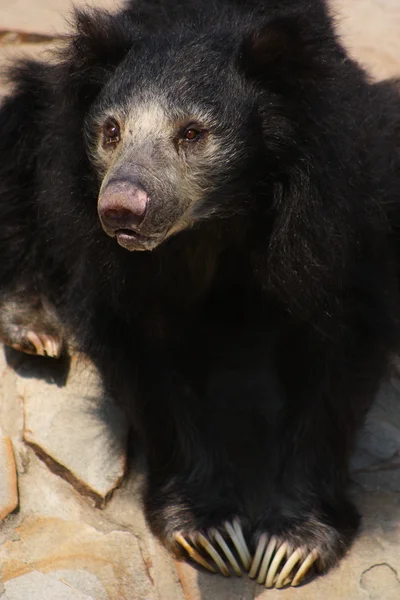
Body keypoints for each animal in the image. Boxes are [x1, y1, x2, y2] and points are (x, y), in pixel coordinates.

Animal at [0, 0, 400, 588]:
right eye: (111, 130)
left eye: (192, 134)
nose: (121, 208)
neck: (216, 220)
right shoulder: (114, 257)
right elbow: (145, 359)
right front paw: (213, 533)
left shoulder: (340, 210)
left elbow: (338, 351)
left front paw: (289, 546)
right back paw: (35, 326)